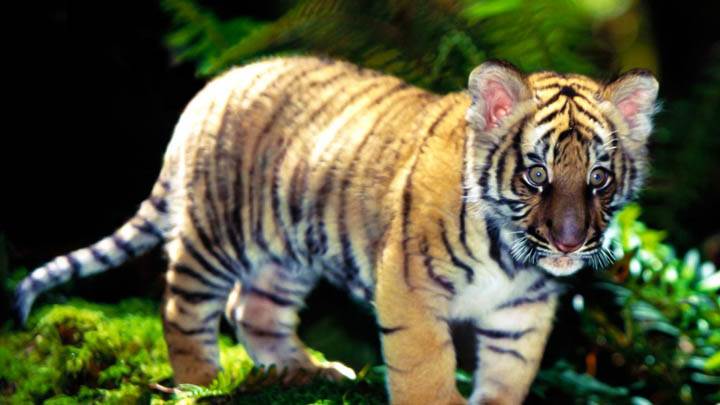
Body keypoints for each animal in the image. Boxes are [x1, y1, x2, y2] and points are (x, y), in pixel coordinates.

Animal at [15, 56, 658, 404]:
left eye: (599, 178)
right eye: (536, 174)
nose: (571, 242)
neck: (514, 259)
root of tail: (212, 87)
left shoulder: (522, 314)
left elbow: (509, 375)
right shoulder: (409, 290)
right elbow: (426, 368)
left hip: (286, 253)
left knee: (253, 310)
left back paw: (303, 369)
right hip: (218, 233)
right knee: (183, 307)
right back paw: (202, 382)